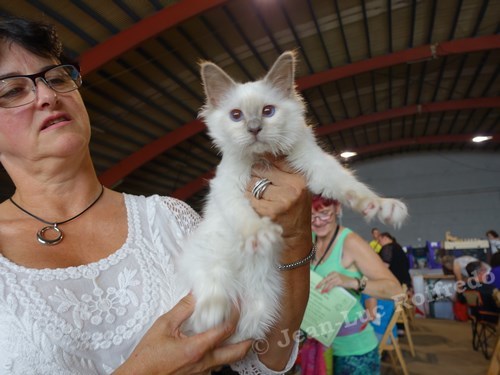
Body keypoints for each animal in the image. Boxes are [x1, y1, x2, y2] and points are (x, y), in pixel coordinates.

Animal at [179, 50, 406, 344]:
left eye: (268, 111)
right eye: (236, 115)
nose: (254, 128)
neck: (263, 158)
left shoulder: (316, 165)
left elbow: (350, 186)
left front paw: (380, 206)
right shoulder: (226, 186)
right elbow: (243, 214)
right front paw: (260, 233)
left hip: (261, 308)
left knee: (241, 334)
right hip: (209, 263)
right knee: (209, 302)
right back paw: (212, 313)